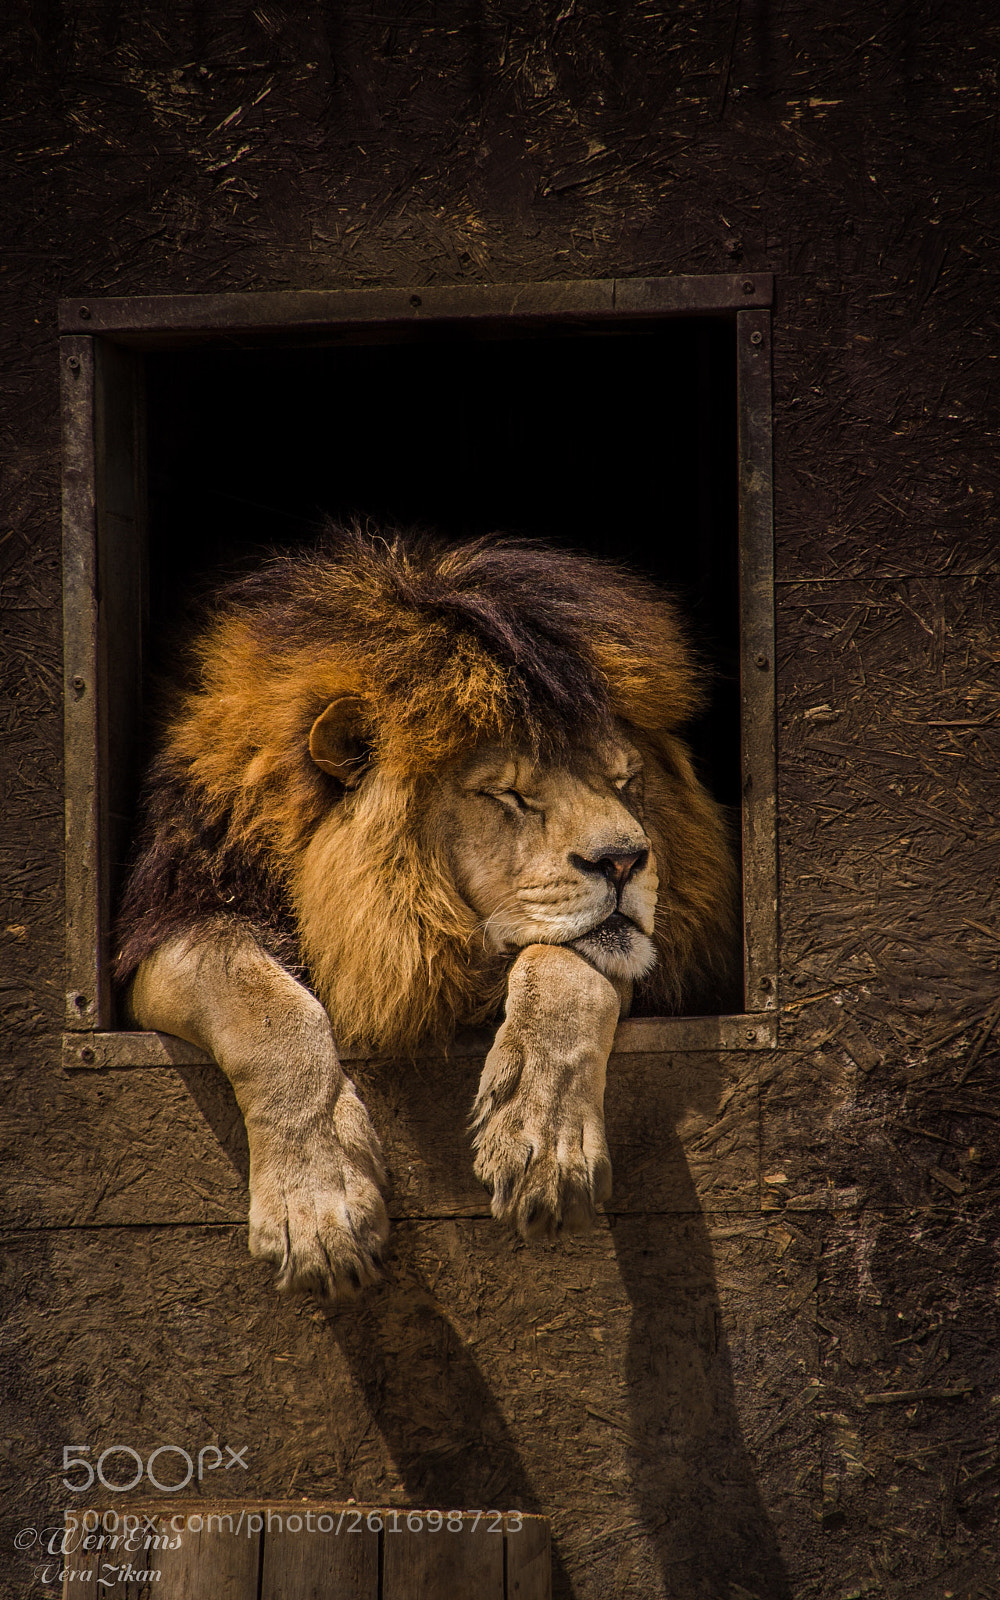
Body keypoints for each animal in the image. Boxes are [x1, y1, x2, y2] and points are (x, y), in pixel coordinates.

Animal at [116, 527, 735, 1301]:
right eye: (509, 794)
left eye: (625, 780)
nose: (625, 860)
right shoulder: (172, 923)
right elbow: (263, 1011)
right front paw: (315, 1208)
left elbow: (567, 971)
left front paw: (543, 1139)